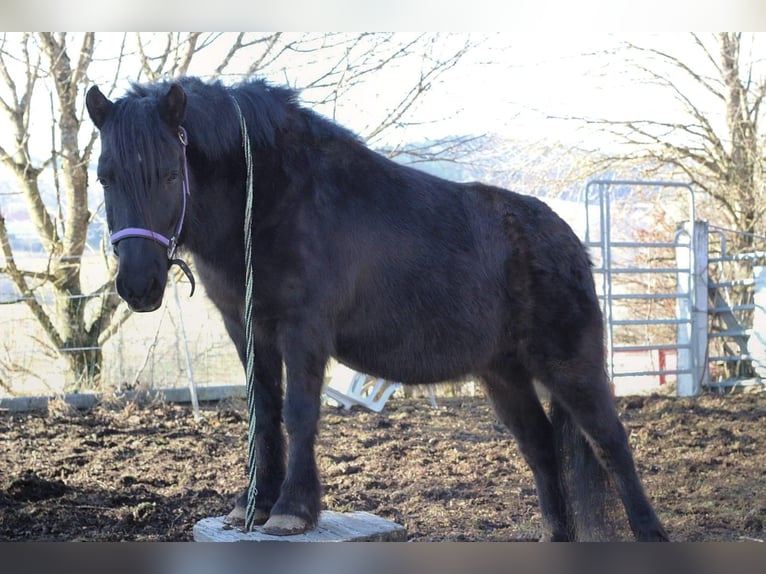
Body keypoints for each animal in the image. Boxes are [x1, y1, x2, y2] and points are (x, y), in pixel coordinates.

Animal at [87, 77, 668, 544]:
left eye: (169, 173)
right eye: (106, 176)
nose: (138, 285)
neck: (273, 200)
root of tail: (569, 241)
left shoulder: (303, 330)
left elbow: (299, 413)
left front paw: (291, 511)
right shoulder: (246, 329)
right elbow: (264, 415)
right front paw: (252, 506)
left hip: (570, 365)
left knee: (610, 443)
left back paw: (649, 533)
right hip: (503, 374)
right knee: (542, 447)